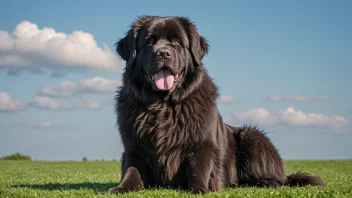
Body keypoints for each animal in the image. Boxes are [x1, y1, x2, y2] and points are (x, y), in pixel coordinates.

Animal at [108, 15, 324, 195]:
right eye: (150, 42)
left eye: (176, 42)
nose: (163, 53)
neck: (164, 104)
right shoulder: (134, 147)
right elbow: (132, 170)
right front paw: (122, 188)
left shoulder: (203, 143)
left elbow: (199, 167)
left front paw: (199, 189)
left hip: (253, 138)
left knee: (279, 179)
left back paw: (264, 182)